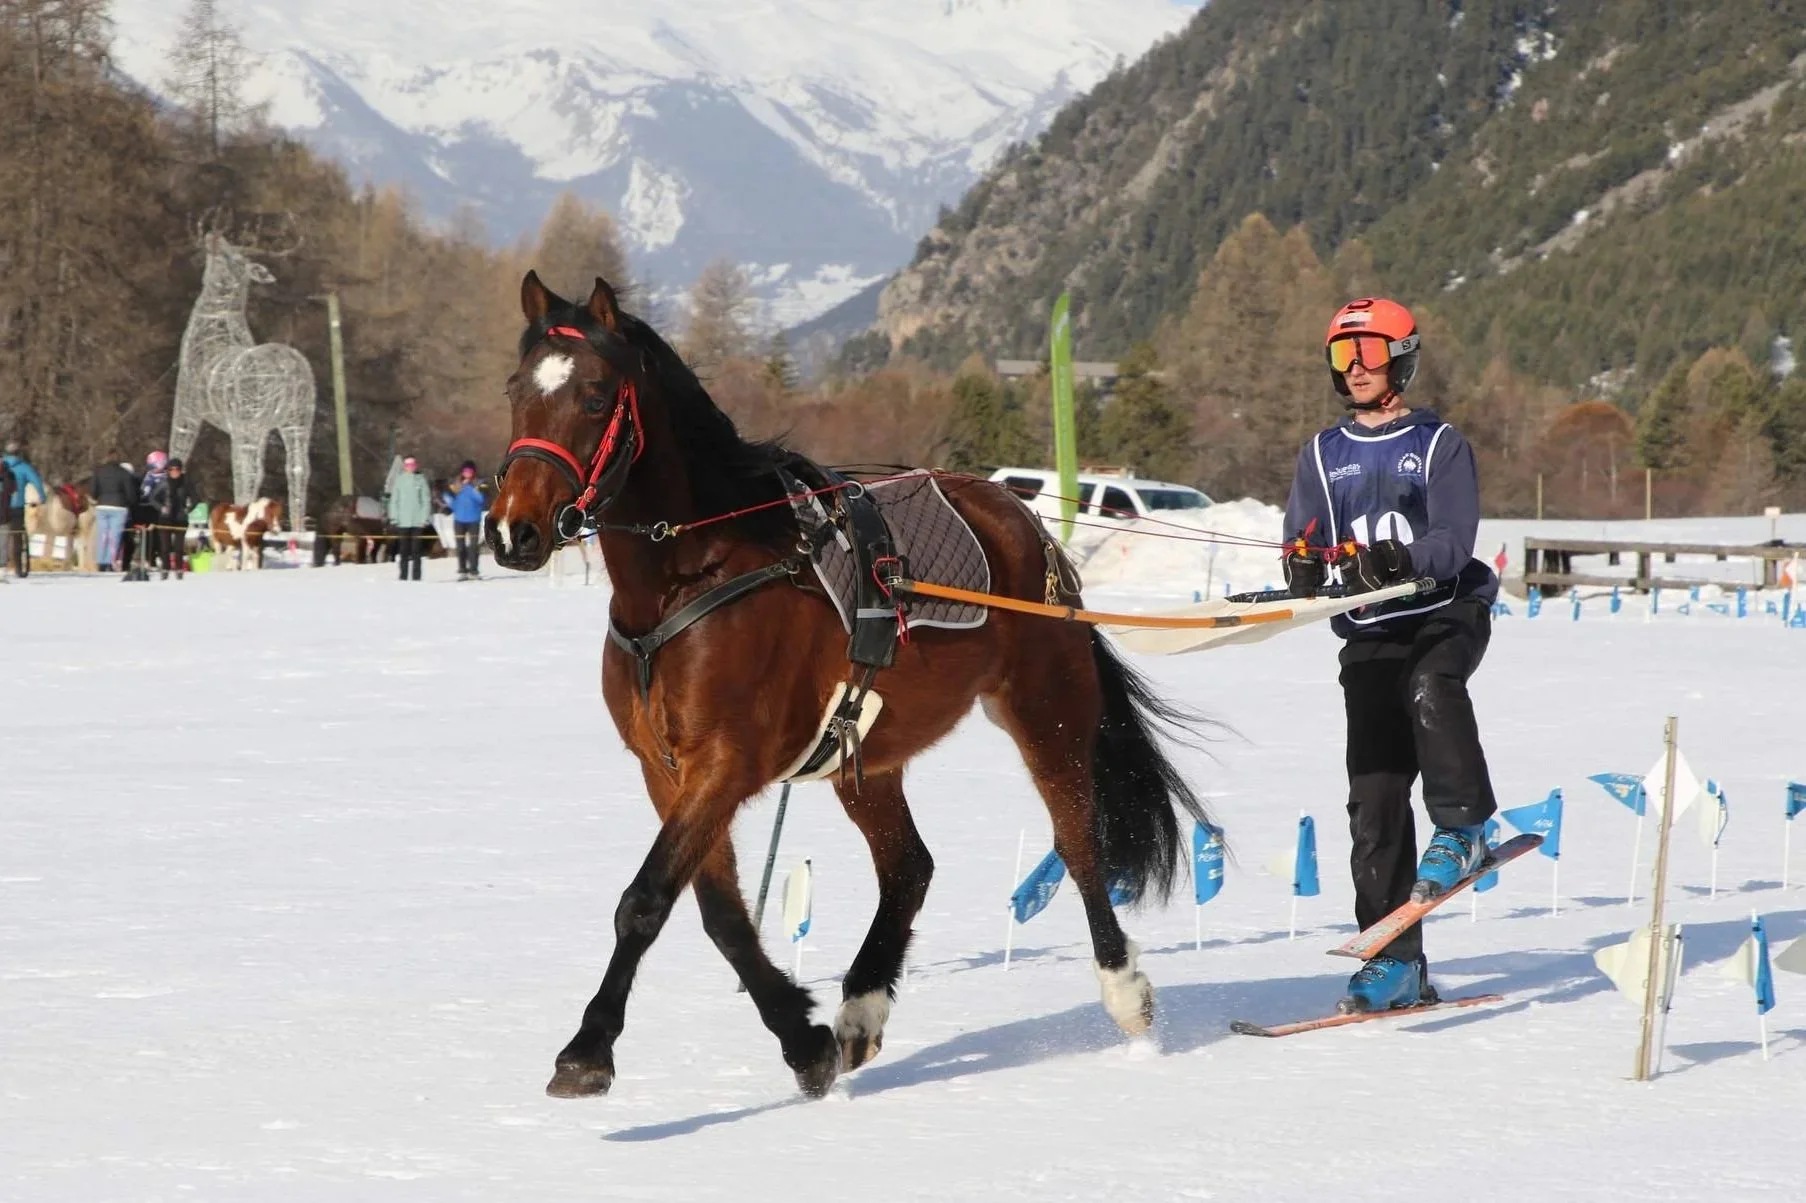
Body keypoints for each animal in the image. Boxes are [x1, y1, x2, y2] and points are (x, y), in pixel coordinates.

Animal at [486, 273, 1215, 1100]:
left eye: (595, 395)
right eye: (517, 388)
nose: (512, 530)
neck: (692, 578)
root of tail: (1028, 524)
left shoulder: (725, 764)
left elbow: (646, 900)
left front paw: (589, 1046)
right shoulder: (667, 772)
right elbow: (721, 914)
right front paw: (803, 1039)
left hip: (1047, 709)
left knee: (1077, 840)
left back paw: (1124, 991)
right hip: (867, 755)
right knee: (909, 865)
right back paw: (862, 1006)